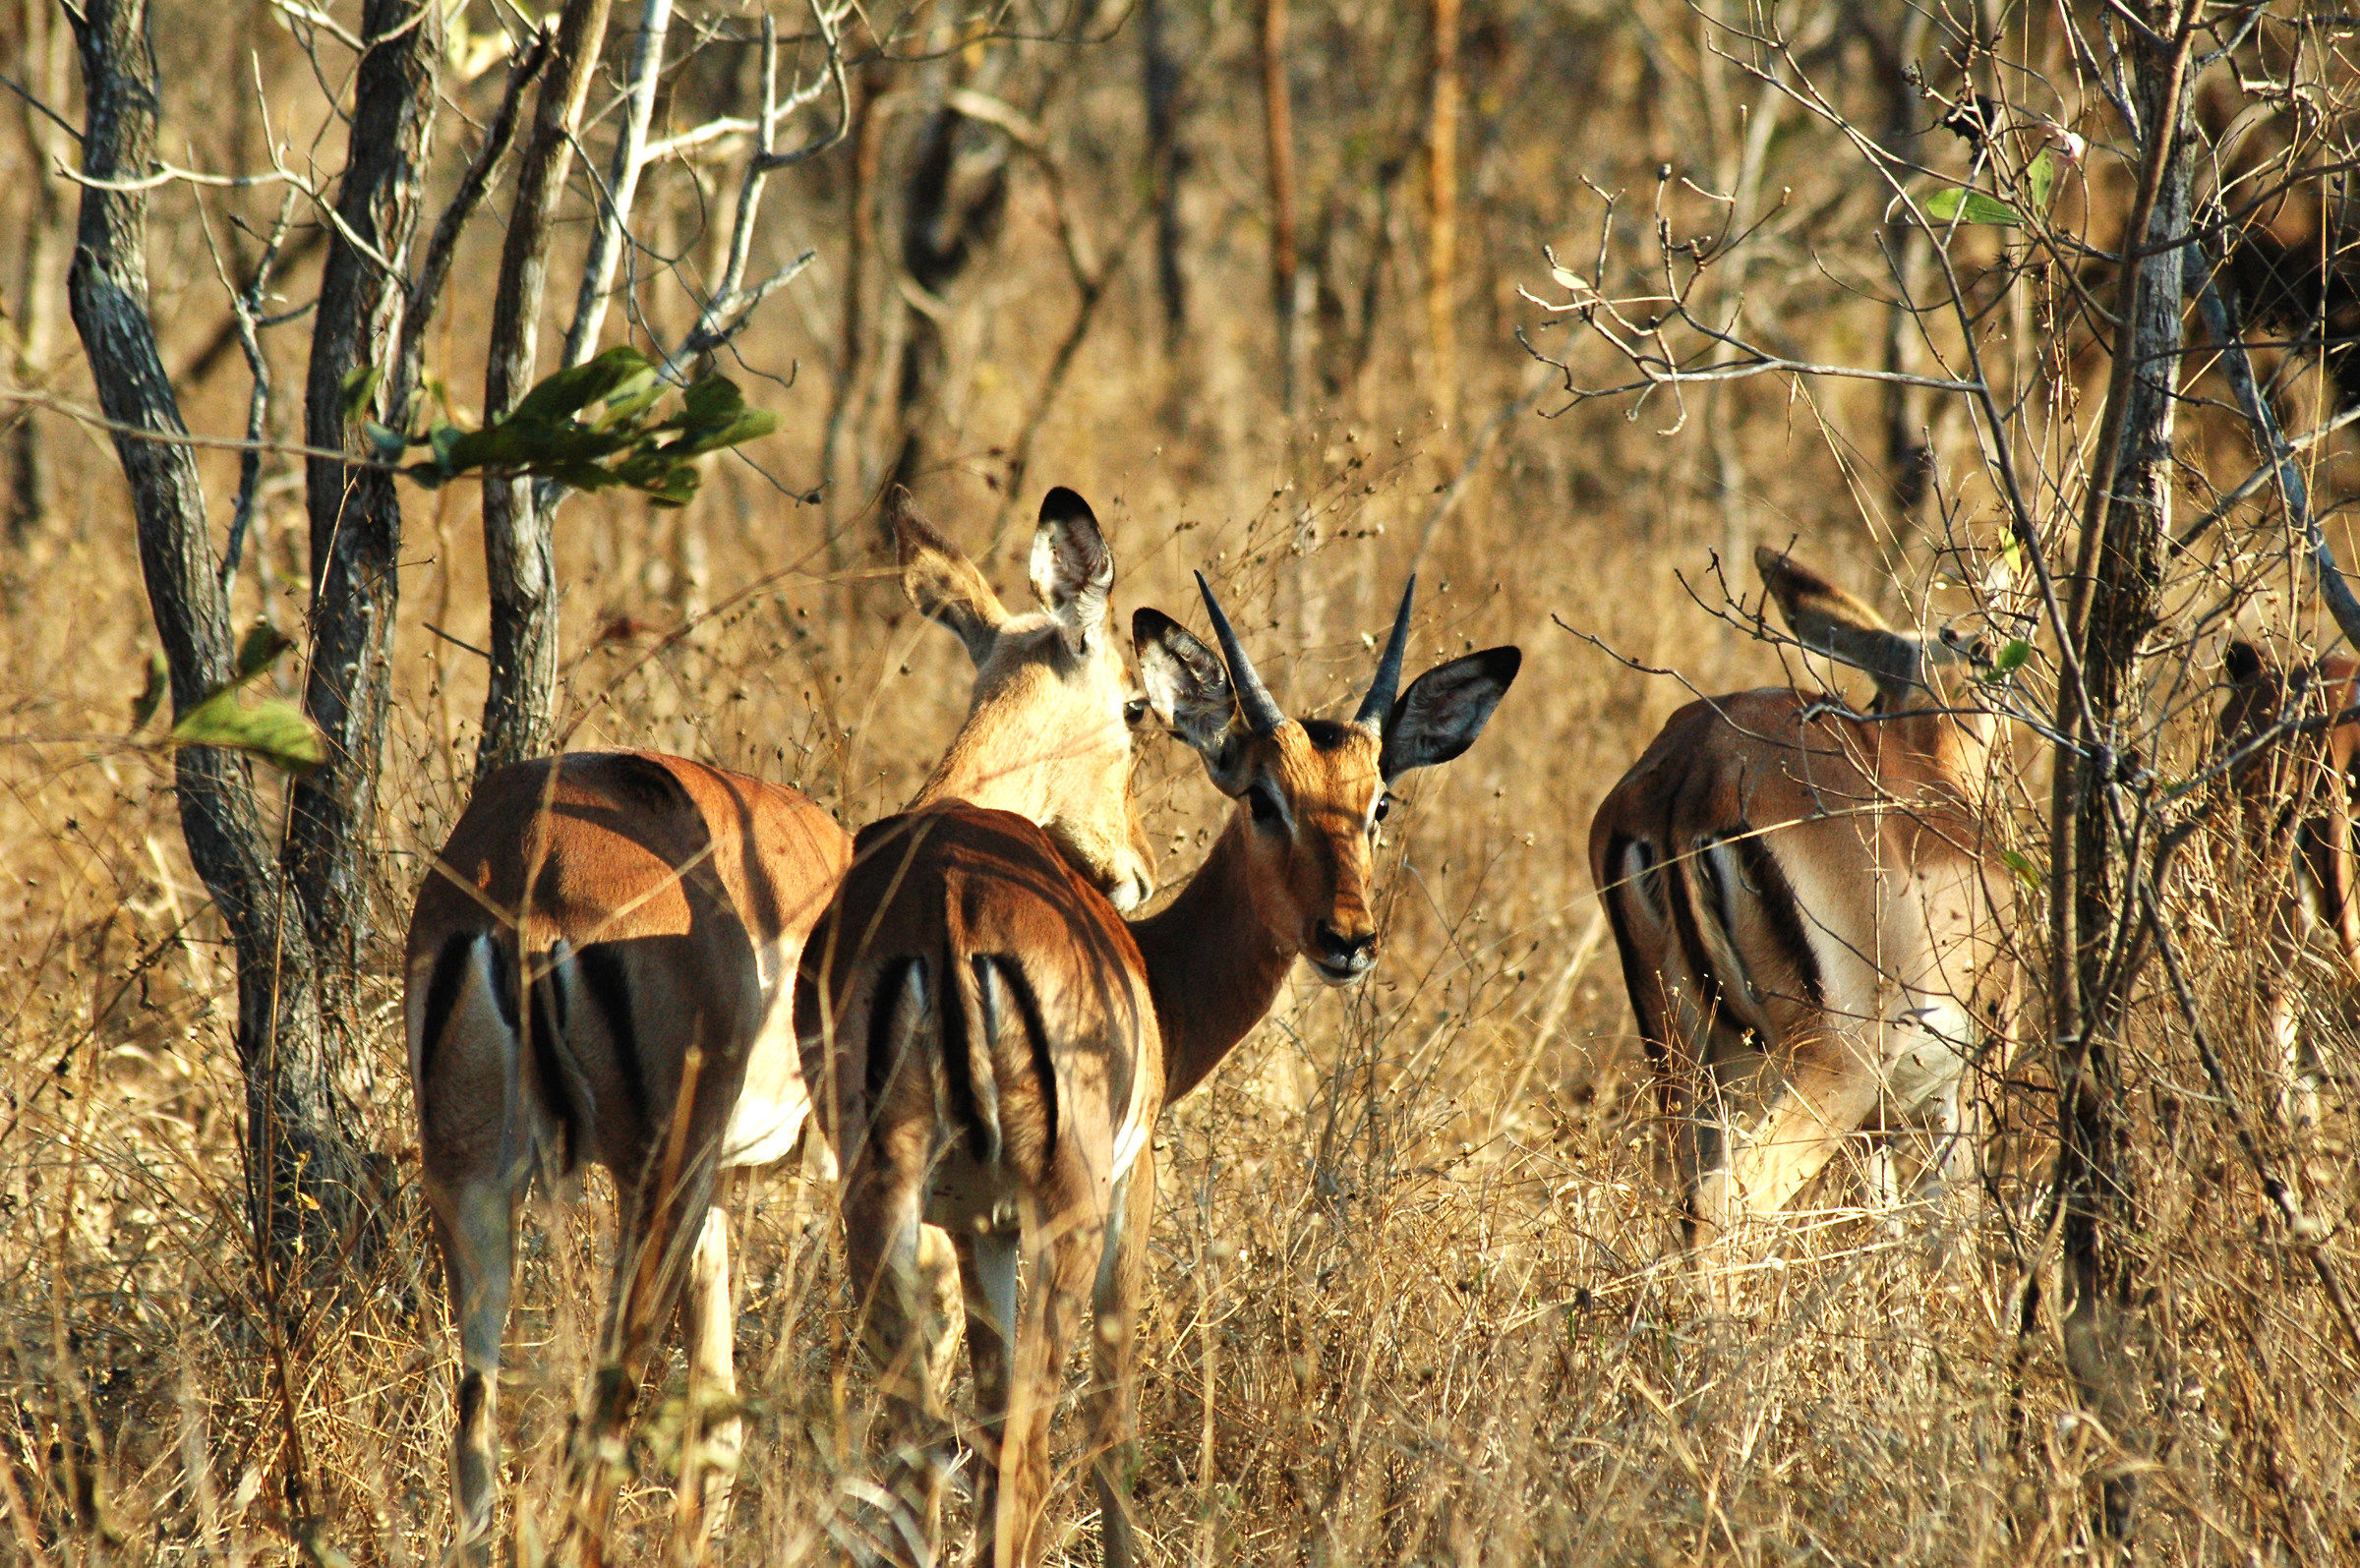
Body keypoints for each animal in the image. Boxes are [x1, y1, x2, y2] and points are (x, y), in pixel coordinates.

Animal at [405, 485, 1152, 1559]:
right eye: (1136, 703)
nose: (1133, 872)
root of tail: (524, 881)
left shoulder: (729, 1192)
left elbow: (716, 1421)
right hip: (656, 1184)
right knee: (604, 1414)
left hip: (474, 1178)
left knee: (479, 1423)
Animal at [800, 573, 1518, 1567]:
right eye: (1262, 797)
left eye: (1379, 802)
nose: (1346, 937)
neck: (1152, 972)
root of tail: (947, 902)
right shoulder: (1128, 1193)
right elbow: (1111, 1424)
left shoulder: (977, 1225)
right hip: (1062, 1208)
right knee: (1030, 1453)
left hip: (880, 1202)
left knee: (924, 1452)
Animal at [1589, 545, 2012, 1246]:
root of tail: (1692, 775)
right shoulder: (1971, 1077)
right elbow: (1954, 1227)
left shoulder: (1876, 1131)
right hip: (1836, 1063)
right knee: (1721, 1202)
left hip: (1688, 1066)